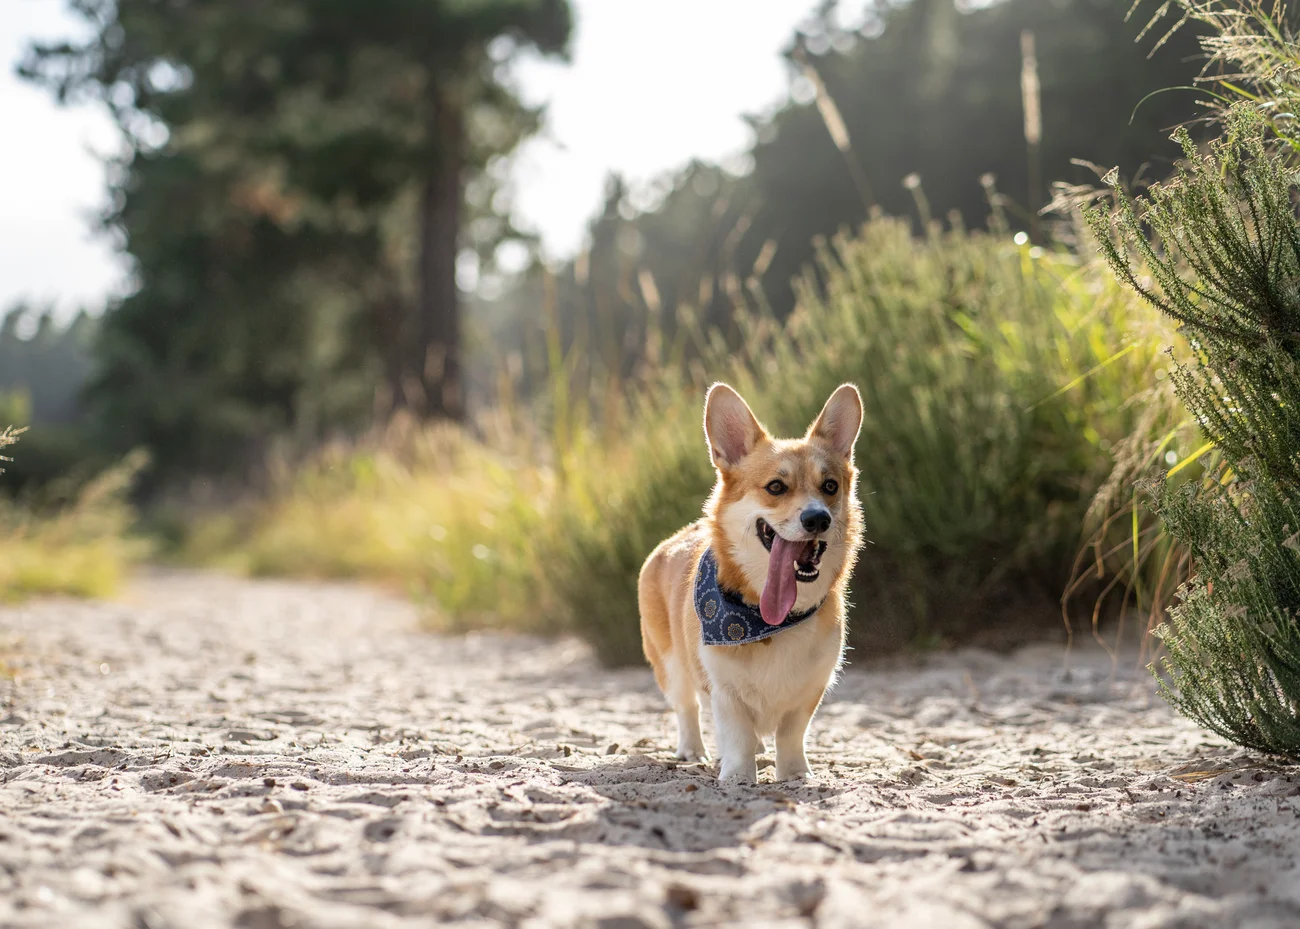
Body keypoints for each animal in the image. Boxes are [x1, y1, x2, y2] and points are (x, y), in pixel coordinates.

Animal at [639, 384, 863, 784]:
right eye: (775, 486)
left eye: (830, 486)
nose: (818, 518)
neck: (763, 619)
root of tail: (674, 538)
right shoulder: (724, 689)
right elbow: (737, 734)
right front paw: (738, 778)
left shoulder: (810, 690)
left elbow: (791, 733)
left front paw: (796, 775)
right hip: (670, 664)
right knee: (686, 708)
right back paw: (693, 751)